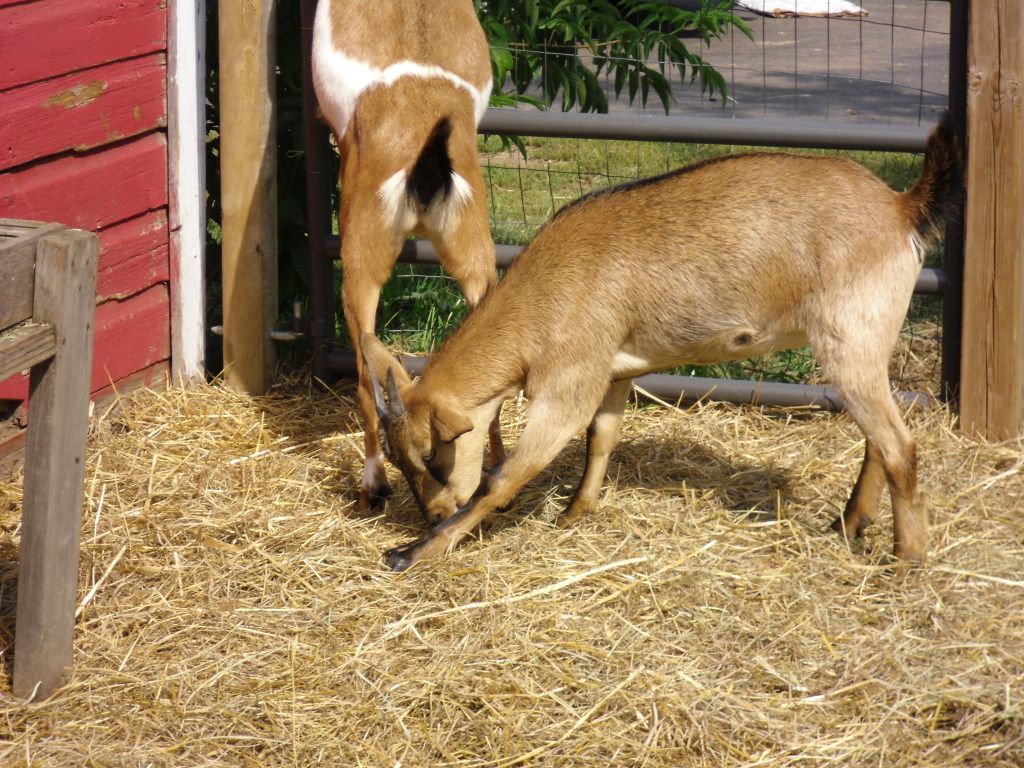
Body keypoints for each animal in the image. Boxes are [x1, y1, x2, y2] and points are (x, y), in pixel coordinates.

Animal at [363, 113, 962, 571]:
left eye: (432, 456)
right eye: (398, 459)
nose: (434, 514)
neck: (543, 294)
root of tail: (901, 208)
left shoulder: (568, 384)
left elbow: (503, 478)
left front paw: (413, 552)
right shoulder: (614, 370)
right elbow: (601, 439)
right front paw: (574, 513)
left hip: (850, 340)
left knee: (900, 447)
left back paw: (908, 560)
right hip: (867, 348)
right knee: (879, 440)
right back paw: (850, 523)